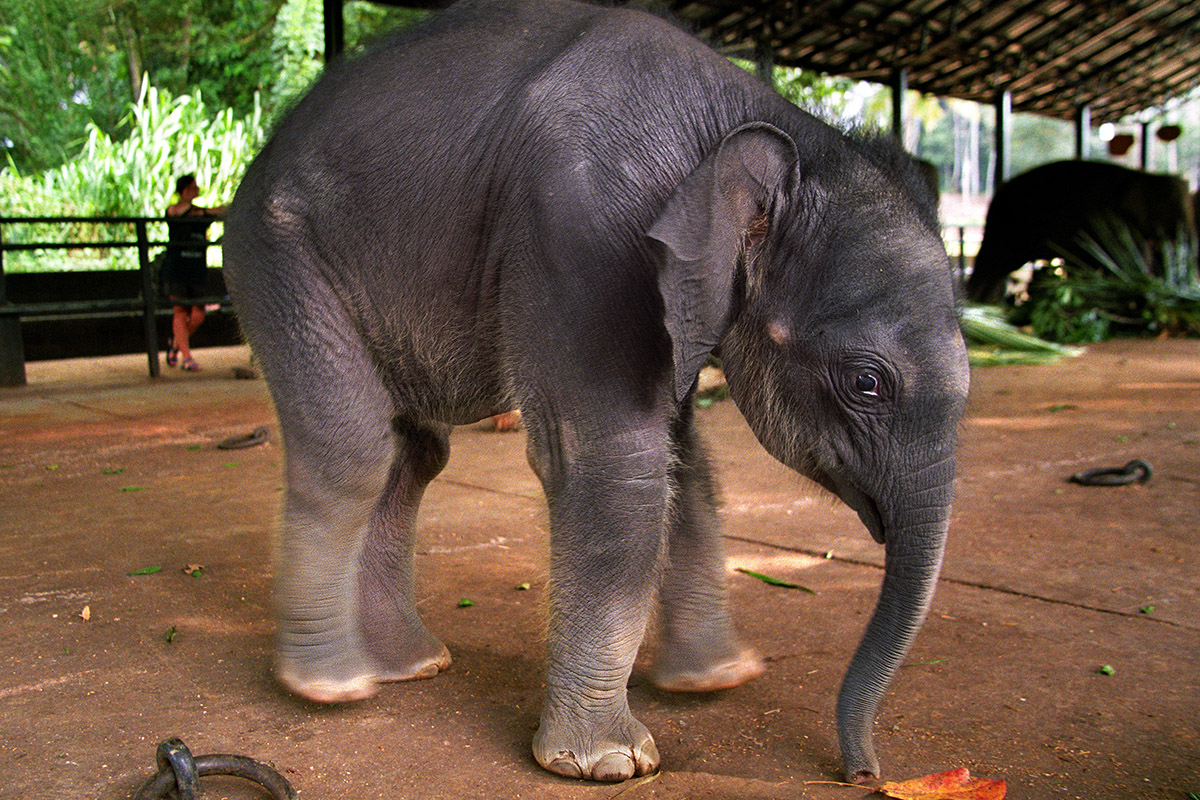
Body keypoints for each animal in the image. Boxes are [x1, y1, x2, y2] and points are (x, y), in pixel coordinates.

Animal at [225, 0, 969, 786]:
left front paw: (717, 679)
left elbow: (682, 457)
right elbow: (614, 458)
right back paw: (331, 686)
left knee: (413, 454)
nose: (863, 773)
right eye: (867, 382)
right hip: (280, 257)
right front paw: (606, 762)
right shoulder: (582, 229)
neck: (749, 116)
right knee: (354, 448)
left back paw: (409, 664)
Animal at [969, 159, 1195, 303]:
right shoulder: (1111, 219)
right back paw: (979, 304)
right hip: (1003, 227)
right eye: (1173, 209)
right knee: (992, 262)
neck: (1144, 176)